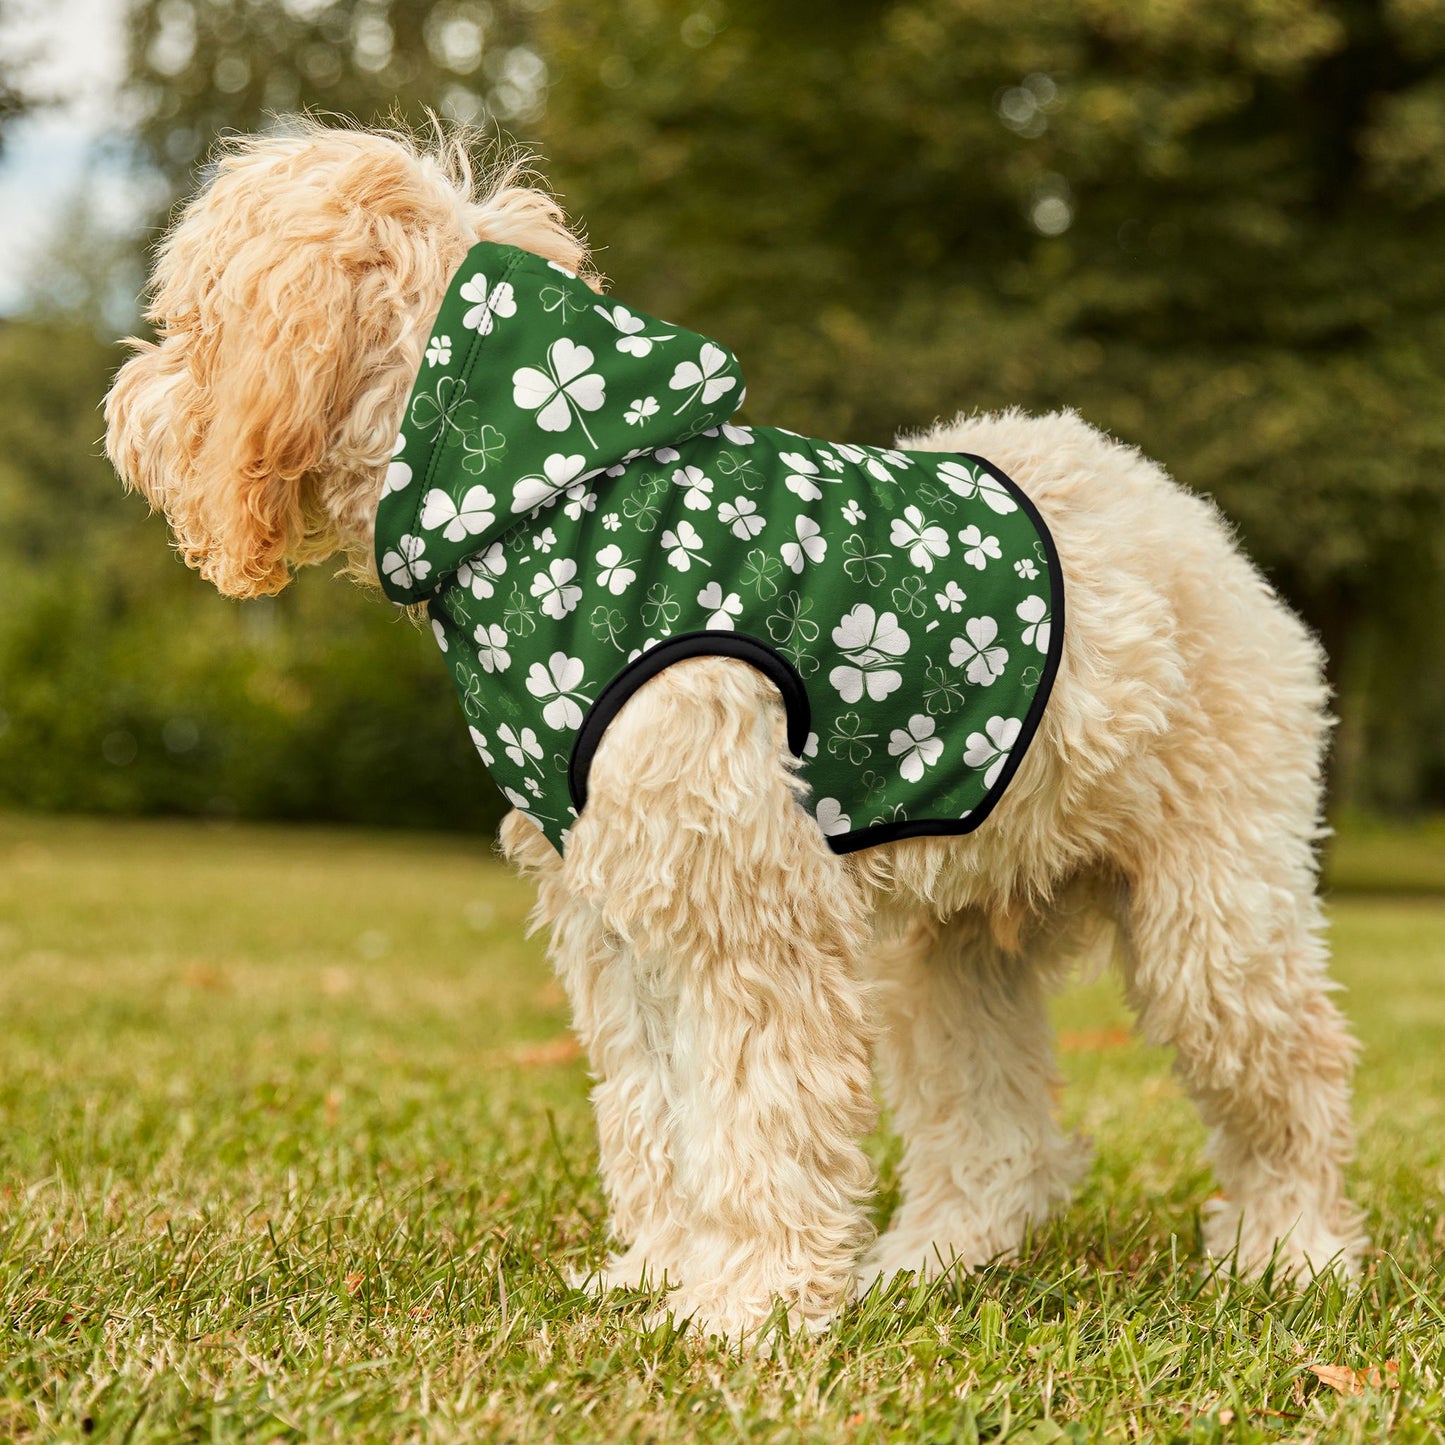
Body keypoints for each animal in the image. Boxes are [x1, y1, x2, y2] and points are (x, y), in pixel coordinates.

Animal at [104, 124, 1364, 1340]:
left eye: (190, 318)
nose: (123, 409)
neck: (548, 498)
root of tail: (1187, 517)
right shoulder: (619, 915)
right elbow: (657, 1113)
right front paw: (662, 1273)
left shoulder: (745, 907)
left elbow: (758, 1114)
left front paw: (747, 1304)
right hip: (947, 950)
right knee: (996, 1136)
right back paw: (928, 1261)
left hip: (1212, 918)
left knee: (1294, 1077)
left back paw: (1290, 1252)